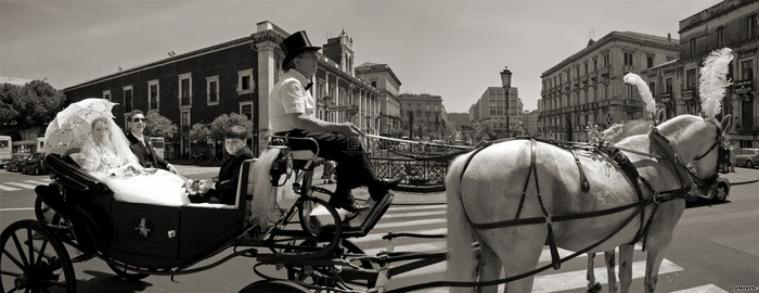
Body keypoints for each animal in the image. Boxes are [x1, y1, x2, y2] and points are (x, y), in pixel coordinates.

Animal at [448, 113, 732, 290]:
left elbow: (623, 277)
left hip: (490, 251)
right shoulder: (659, 240)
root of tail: (468, 158)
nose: (710, 184)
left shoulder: (626, 238)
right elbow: (649, 281)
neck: (660, 156)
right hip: (522, 256)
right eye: (725, 148)